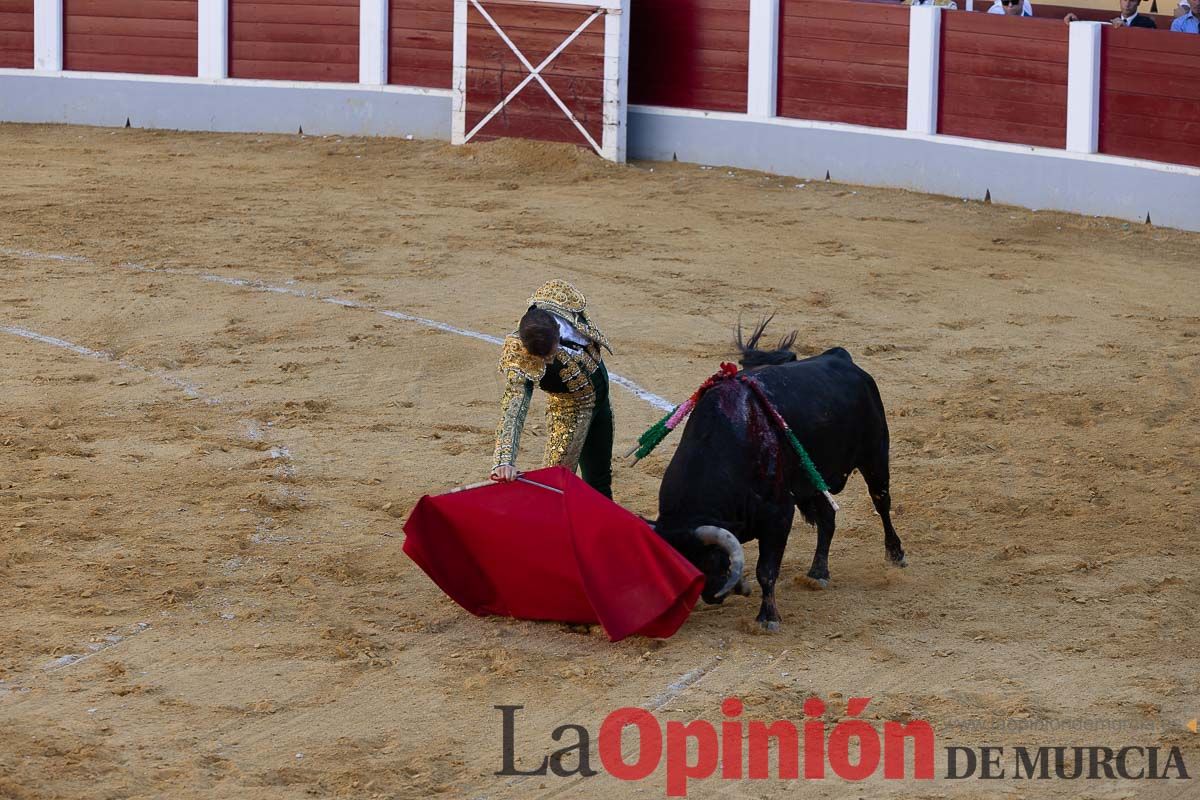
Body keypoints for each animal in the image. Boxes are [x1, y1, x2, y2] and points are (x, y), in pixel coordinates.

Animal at [652, 347, 902, 633]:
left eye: (707, 560)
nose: (712, 596)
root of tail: (840, 356)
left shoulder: (778, 515)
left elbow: (766, 570)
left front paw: (768, 617)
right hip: (813, 482)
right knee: (828, 519)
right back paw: (818, 573)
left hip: (875, 455)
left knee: (881, 502)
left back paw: (895, 554)